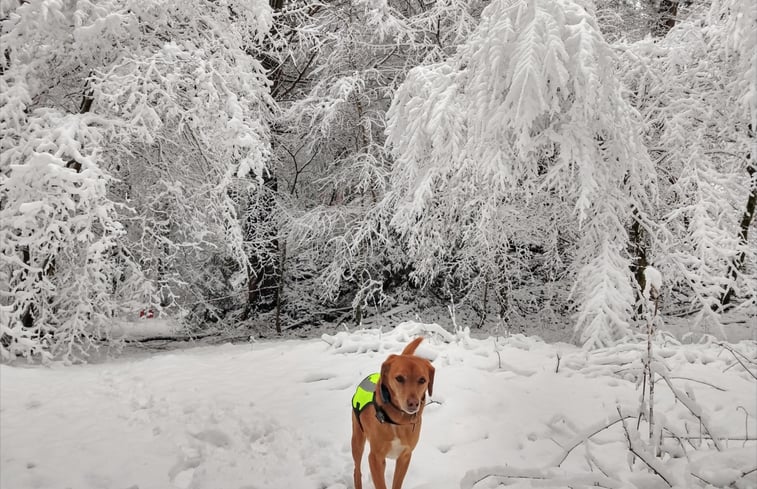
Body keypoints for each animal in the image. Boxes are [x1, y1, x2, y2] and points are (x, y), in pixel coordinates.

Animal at [351, 337, 435, 489]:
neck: (398, 421)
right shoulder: (374, 458)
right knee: (357, 470)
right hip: (357, 439)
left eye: (422, 380)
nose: (413, 403)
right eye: (399, 378)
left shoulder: (405, 456)